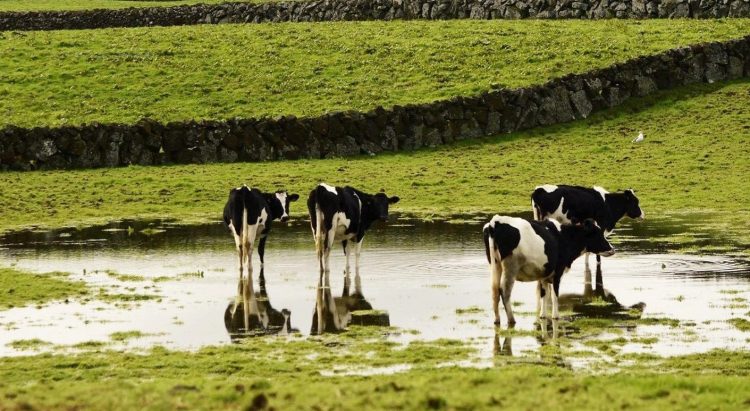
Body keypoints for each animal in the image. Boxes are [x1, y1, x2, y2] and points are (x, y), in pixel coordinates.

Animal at [482, 217, 616, 326]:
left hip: (495, 265)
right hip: (511, 267)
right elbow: (555, 295)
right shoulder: (558, 272)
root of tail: (495, 222)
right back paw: (511, 320)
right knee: (504, 291)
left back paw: (497, 320)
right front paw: (555, 316)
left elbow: (544, 294)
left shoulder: (543, 274)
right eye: (597, 233)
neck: (564, 237)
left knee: (495, 292)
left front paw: (543, 316)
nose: (613, 249)